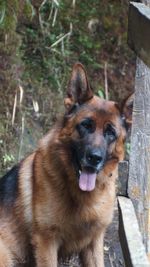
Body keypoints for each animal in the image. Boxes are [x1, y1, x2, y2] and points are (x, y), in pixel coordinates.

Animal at [0, 63, 133, 267]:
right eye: (86, 125)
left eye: (110, 133)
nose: (94, 158)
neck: (82, 197)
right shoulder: (46, 243)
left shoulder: (93, 243)